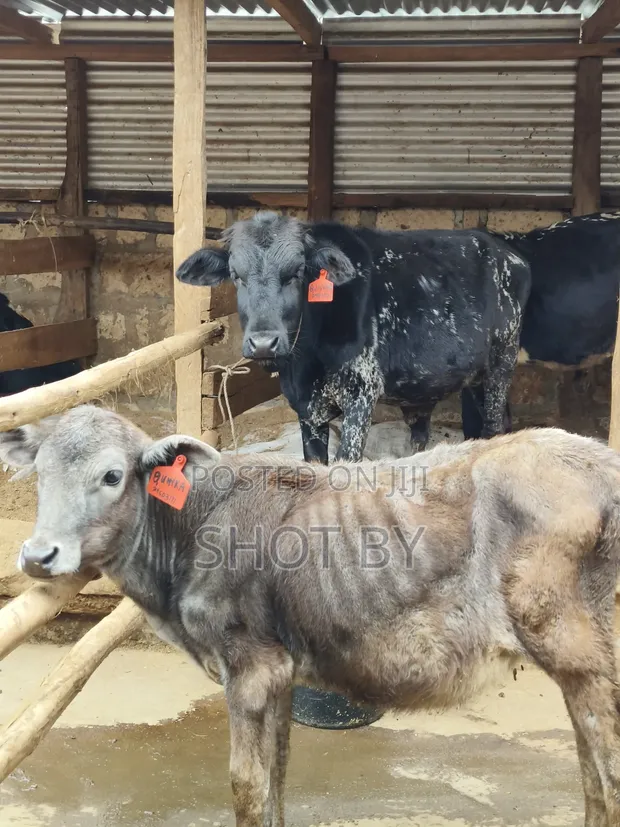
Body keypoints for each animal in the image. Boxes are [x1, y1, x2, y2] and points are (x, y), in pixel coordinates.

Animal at [3, 404, 620, 827]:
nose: (37, 555)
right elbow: (278, 771)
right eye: (41, 475)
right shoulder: (280, 667)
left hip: (582, 652)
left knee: (607, 773)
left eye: (112, 476)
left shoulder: (247, 665)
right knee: (591, 772)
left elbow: (246, 784)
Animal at [176, 211, 530, 464]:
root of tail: (512, 256)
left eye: (297, 273)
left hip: (502, 363)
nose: (264, 342)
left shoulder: (362, 391)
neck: (306, 365)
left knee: (493, 426)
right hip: (474, 376)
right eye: (236, 275)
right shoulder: (307, 409)